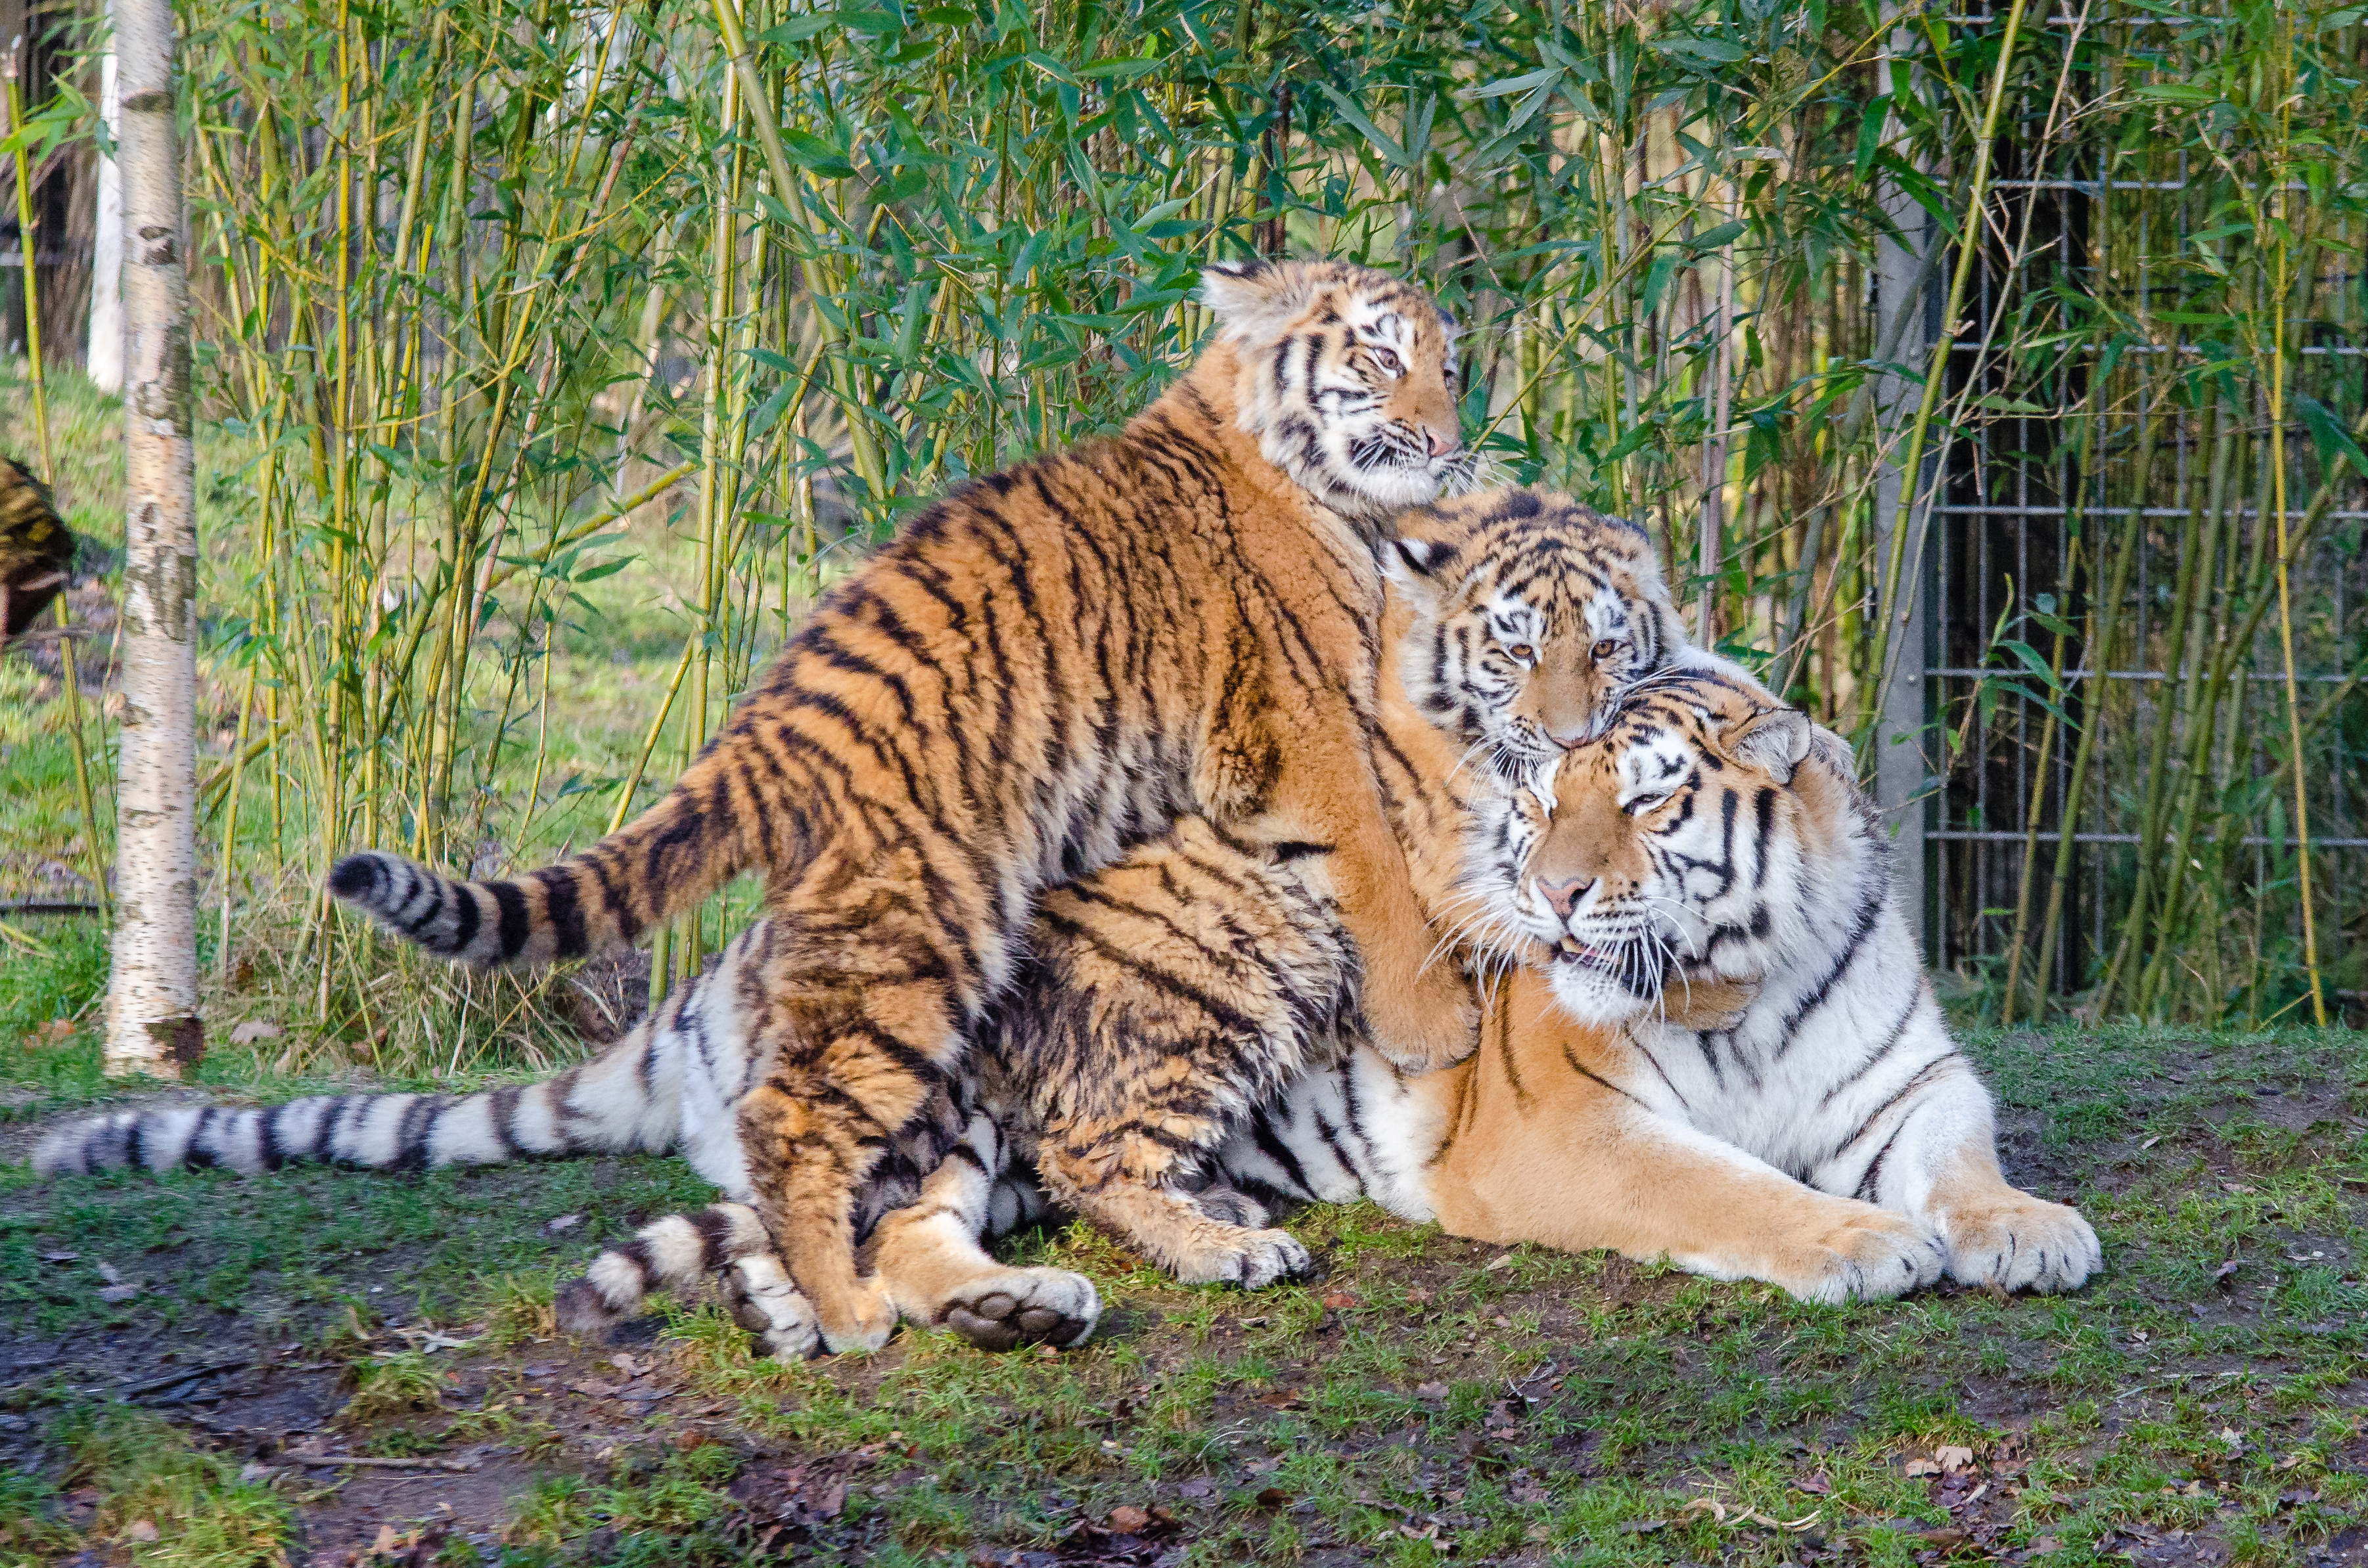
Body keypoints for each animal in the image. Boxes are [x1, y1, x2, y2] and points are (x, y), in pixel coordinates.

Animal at [315, 264, 1477, 1355]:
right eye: (1381, 356)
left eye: (1451, 366)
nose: (1445, 439)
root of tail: (765, 726)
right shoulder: (1308, 727)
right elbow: (1378, 865)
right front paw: (1439, 1027)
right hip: (920, 936)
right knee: (792, 1120)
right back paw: (847, 1311)